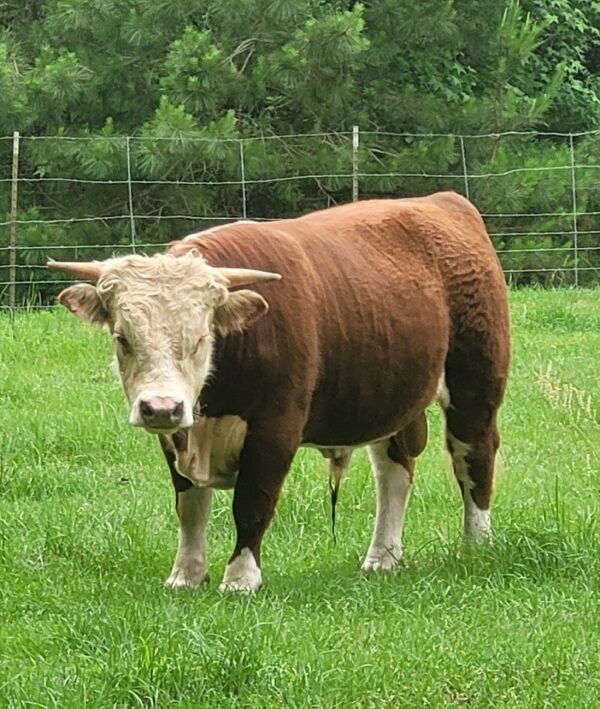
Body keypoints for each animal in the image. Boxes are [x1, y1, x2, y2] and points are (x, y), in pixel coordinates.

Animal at [50, 191, 510, 588]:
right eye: (122, 338)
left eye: (201, 337)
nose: (161, 407)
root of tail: (442, 200)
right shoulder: (177, 435)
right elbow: (190, 507)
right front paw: (186, 575)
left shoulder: (276, 428)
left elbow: (252, 502)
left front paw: (240, 578)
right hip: (388, 394)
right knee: (393, 468)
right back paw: (383, 557)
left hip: (475, 385)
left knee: (474, 456)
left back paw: (475, 545)